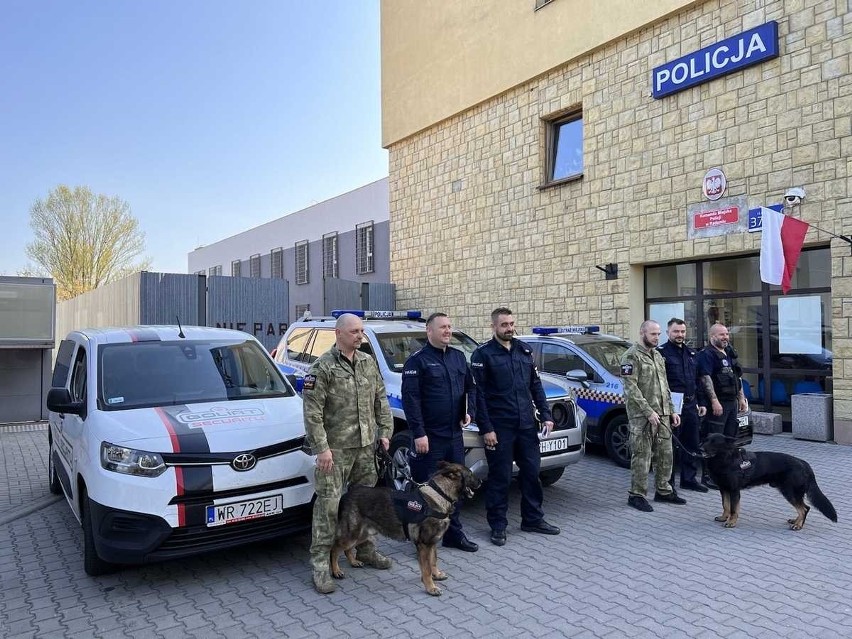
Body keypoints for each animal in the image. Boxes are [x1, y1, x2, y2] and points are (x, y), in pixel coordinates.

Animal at [332, 462, 480, 596]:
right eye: (470, 474)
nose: (481, 481)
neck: (440, 494)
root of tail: (348, 493)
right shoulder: (424, 545)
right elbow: (426, 569)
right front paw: (431, 587)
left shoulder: (432, 543)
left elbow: (433, 561)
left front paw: (436, 575)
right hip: (352, 535)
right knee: (334, 548)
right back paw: (336, 571)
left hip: (362, 534)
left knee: (346, 549)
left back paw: (353, 561)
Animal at [700, 432, 840, 532]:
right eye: (706, 440)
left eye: (714, 442)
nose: (700, 448)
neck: (726, 459)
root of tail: (804, 464)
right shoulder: (724, 489)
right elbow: (725, 505)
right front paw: (724, 517)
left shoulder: (734, 490)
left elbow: (734, 509)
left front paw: (731, 522)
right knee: (803, 508)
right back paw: (796, 521)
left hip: (789, 492)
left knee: (804, 508)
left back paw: (798, 525)